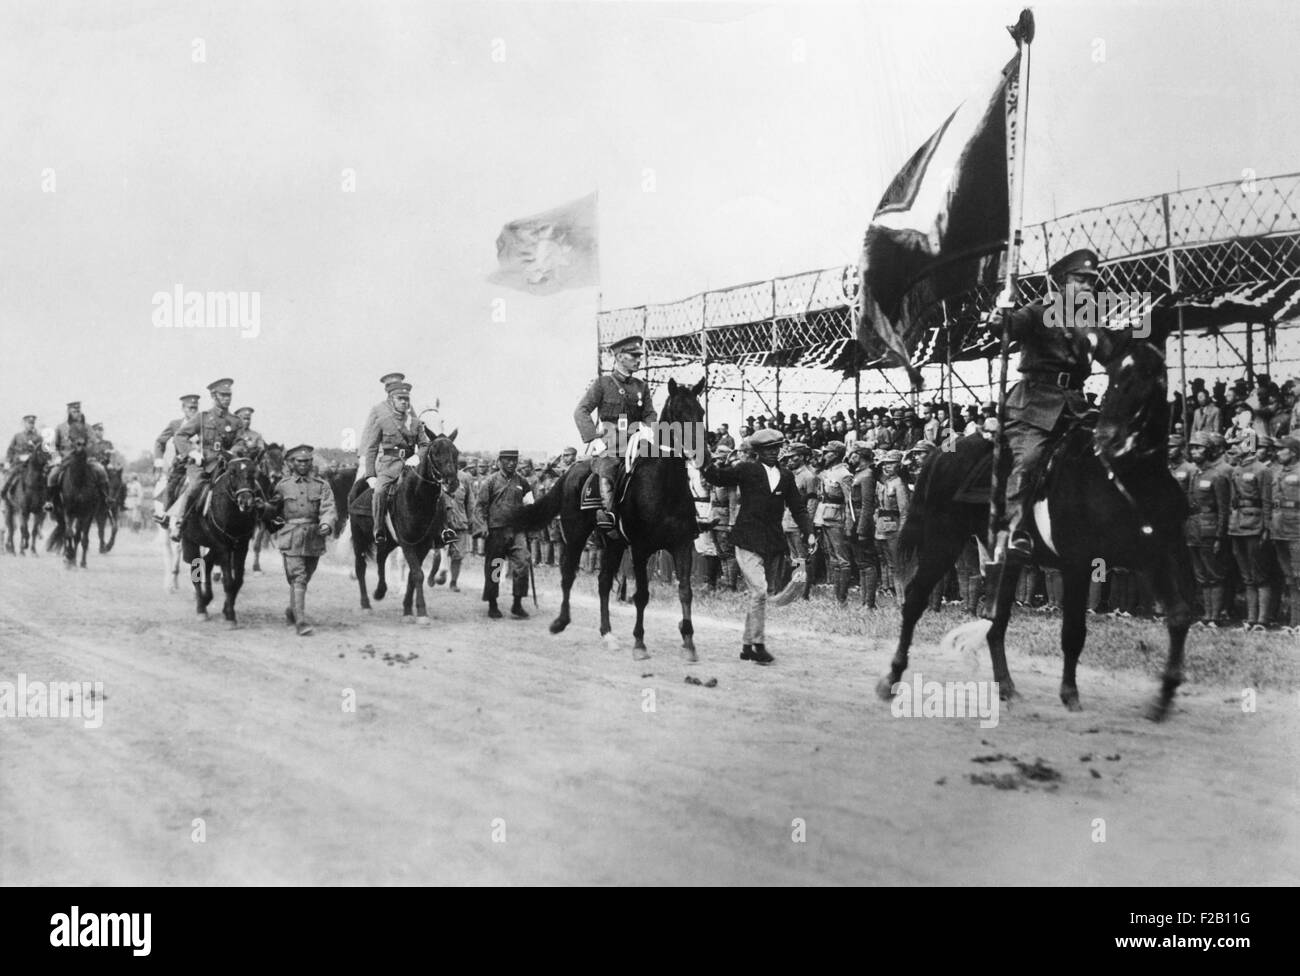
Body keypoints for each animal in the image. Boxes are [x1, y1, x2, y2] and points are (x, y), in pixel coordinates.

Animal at [179, 449, 270, 626]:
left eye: (254, 472)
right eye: (232, 472)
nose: (246, 501)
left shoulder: (241, 545)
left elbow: (237, 581)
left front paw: (227, 610)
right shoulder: (223, 547)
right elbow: (227, 581)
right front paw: (229, 617)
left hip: (213, 546)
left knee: (207, 563)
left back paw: (207, 599)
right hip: (191, 542)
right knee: (196, 571)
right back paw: (201, 609)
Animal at [249, 447, 286, 577]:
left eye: (282, 460)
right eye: (267, 459)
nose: (277, 476)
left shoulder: (262, 522)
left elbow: (257, 545)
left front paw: (256, 567)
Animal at [351, 431, 462, 621]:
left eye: (455, 452)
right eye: (435, 453)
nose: (451, 482)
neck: (418, 497)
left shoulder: (423, 545)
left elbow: (413, 575)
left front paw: (408, 609)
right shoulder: (407, 543)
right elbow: (418, 574)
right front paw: (421, 611)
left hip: (388, 541)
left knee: (381, 558)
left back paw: (380, 591)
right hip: (360, 539)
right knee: (360, 567)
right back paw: (366, 604)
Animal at [512, 374, 707, 665]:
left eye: (700, 412)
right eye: (679, 413)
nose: (700, 455)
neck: (665, 486)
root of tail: (571, 470)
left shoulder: (682, 545)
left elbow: (685, 590)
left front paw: (689, 642)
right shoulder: (640, 549)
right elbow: (642, 595)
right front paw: (639, 643)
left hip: (612, 542)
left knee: (603, 582)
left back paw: (608, 634)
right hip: (576, 535)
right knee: (568, 574)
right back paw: (560, 621)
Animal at [878, 332, 1190, 722]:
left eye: (1151, 377)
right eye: (1115, 378)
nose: (1110, 439)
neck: (1126, 477)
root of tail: (941, 452)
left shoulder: (1156, 556)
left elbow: (1178, 617)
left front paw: (1163, 698)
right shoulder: (1078, 562)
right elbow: (1073, 632)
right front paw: (1070, 694)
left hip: (1005, 556)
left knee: (995, 623)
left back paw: (1007, 688)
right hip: (942, 542)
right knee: (916, 600)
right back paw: (891, 677)